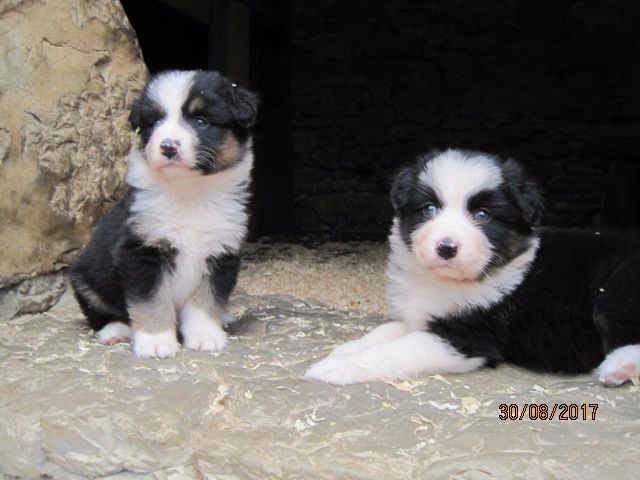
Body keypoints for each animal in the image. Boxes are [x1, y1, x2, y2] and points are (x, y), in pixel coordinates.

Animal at [69, 69, 258, 358]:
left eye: (201, 121)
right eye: (155, 121)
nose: (168, 147)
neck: (189, 192)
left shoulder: (221, 252)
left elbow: (207, 301)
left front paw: (206, 336)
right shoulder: (141, 251)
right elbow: (150, 302)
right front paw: (156, 342)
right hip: (85, 279)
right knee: (99, 313)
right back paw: (116, 331)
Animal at [306, 150, 640, 386]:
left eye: (483, 215)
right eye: (429, 209)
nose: (446, 247)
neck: (445, 282)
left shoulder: (466, 337)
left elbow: (398, 350)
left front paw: (336, 367)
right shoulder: (424, 316)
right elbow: (386, 331)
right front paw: (346, 349)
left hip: (618, 286)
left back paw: (619, 367)